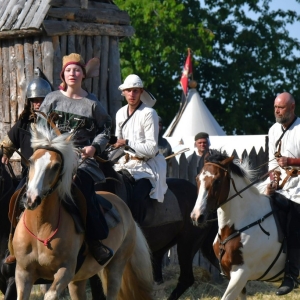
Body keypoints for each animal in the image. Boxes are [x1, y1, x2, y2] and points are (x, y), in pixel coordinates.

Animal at [11, 123, 154, 300]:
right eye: (31, 161)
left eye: (56, 166)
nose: (31, 199)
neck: (40, 227)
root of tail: (125, 209)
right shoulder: (23, 273)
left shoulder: (65, 271)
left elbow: (50, 295)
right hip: (78, 280)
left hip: (116, 267)